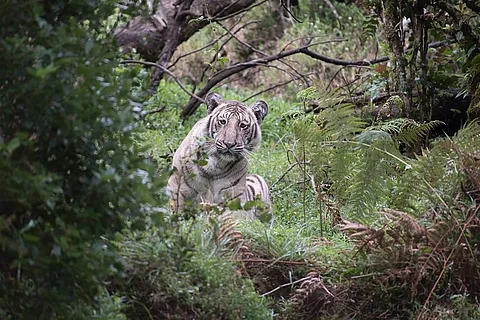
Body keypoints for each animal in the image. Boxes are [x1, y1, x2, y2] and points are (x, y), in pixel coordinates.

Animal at [166, 91, 270, 219]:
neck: (216, 164)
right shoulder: (177, 186)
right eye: (223, 121)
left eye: (243, 125)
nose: (229, 144)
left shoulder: (234, 199)